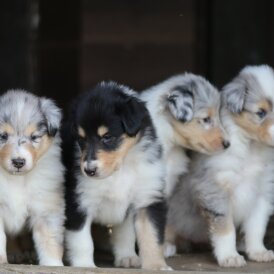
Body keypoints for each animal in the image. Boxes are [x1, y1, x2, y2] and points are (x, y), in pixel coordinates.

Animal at [0, 90, 64, 266]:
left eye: (34, 137)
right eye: (3, 136)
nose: (18, 162)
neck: (16, 178)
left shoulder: (45, 206)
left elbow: (49, 239)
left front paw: (53, 265)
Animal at [63, 81, 171, 270]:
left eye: (107, 137)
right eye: (81, 139)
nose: (88, 170)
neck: (120, 169)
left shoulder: (147, 198)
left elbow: (151, 236)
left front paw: (157, 266)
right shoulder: (79, 202)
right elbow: (82, 241)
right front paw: (85, 266)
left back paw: (127, 256)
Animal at [168, 65, 274, 268]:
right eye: (261, 113)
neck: (251, 149)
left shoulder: (262, 192)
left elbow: (257, 227)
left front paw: (258, 251)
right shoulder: (215, 190)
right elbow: (226, 229)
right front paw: (229, 257)